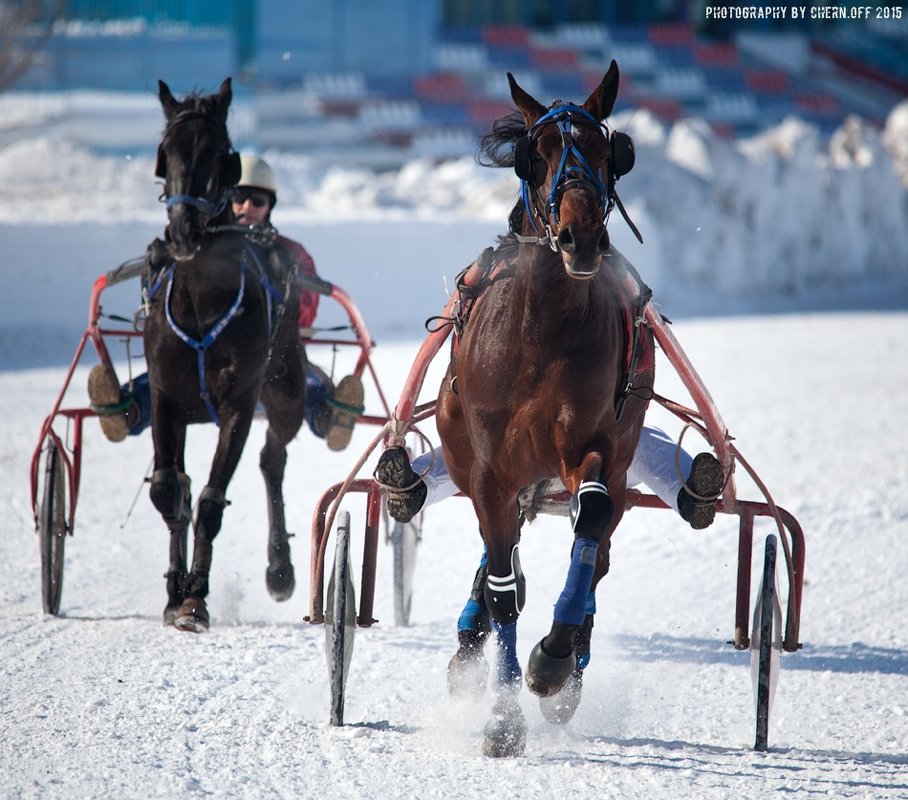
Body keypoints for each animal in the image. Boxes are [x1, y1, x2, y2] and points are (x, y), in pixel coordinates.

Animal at [144, 79, 306, 632]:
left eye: (218, 154)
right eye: (166, 151)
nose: (183, 230)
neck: (200, 301)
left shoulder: (239, 401)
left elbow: (214, 501)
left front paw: (195, 598)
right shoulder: (165, 396)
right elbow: (168, 490)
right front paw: (175, 592)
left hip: (286, 390)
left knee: (273, 459)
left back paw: (280, 569)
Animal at [434, 62, 652, 756]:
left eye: (608, 152)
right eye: (539, 153)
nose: (580, 237)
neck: (541, 330)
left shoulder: (592, 444)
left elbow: (593, 518)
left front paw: (553, 659)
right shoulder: (489, 474)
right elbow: (503, 589)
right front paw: (504, 721)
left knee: (597, 547)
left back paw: (570, 659)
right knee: (498, 560)